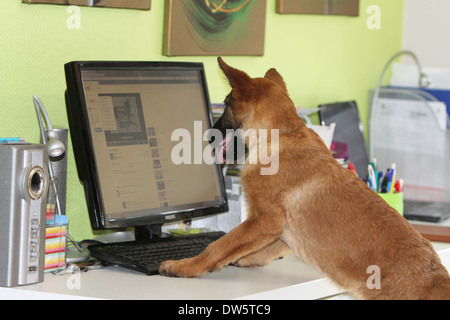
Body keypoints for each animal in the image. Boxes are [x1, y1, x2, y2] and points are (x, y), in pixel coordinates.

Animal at [160, 57, 450, 300]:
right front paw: (248, 258)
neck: (282, 134)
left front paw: (186, 266)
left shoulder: (265, 218)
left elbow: (219, 245)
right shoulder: (279, 227)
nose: (208, 134)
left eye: (227, 105)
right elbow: (271, 246)